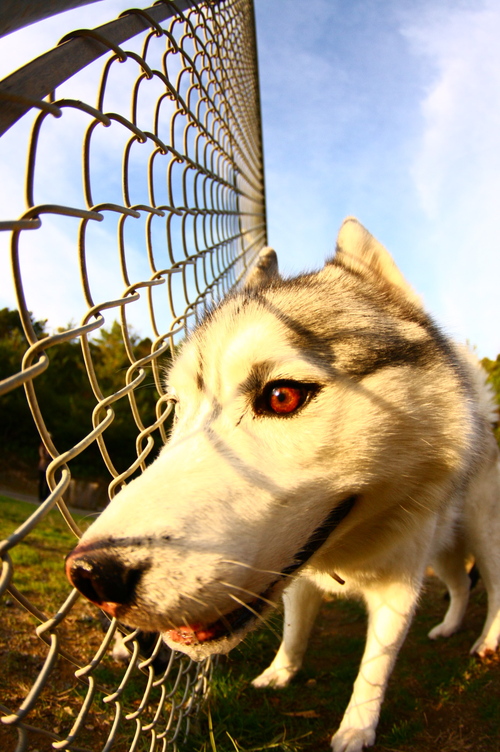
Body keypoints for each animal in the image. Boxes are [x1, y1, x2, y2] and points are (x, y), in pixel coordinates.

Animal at [66, 219, 500, 752]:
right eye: (177, 409)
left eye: (282, 396)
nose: (91, 575)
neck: (345, 557)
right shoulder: (299, 578)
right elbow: (294, 632)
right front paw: (279, 675)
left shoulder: (398, 587)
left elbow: (373, 670)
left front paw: (356, 729)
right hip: (444, 550)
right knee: (460, 585)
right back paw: (448, 627)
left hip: (481, 536)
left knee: (493, 589)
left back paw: (485, 641)